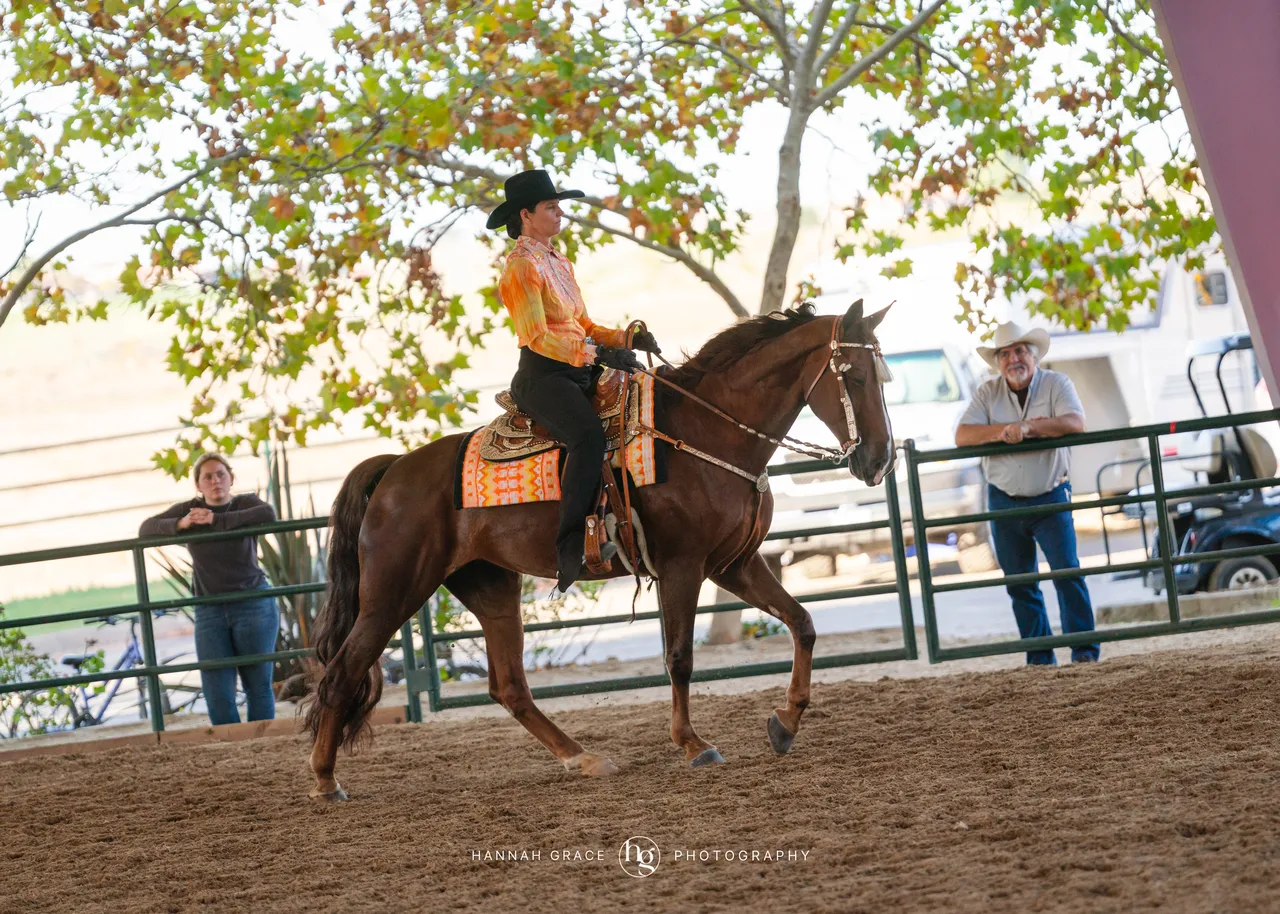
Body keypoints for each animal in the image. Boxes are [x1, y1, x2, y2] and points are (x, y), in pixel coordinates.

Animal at [301, 298, 894, 799]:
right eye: (854, 374)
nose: (879, 461)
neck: (707, 430)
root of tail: (392, 469)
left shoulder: (734, 565)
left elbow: (803, 623)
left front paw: (785, 724)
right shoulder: (683, 567)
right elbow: (680, 657)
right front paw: (693, 744)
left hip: (491, 587)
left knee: (510, 687)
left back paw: (582, 758)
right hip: (392, 593)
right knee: (343, 671)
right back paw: (325, 781)